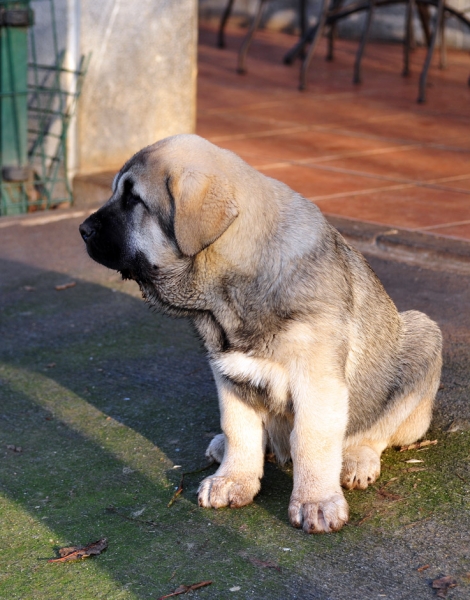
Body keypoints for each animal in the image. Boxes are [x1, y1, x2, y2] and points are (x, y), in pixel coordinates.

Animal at [79, 134, 442, 532]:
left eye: (133, 199)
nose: (82, 230)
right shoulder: (227, 371)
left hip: (423, 337)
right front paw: (233, 478)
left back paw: (358, 458)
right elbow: (237, 427)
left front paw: (316, 501)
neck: (231, 290)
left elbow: (313, 437)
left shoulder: (317, 377)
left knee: (376, 431)